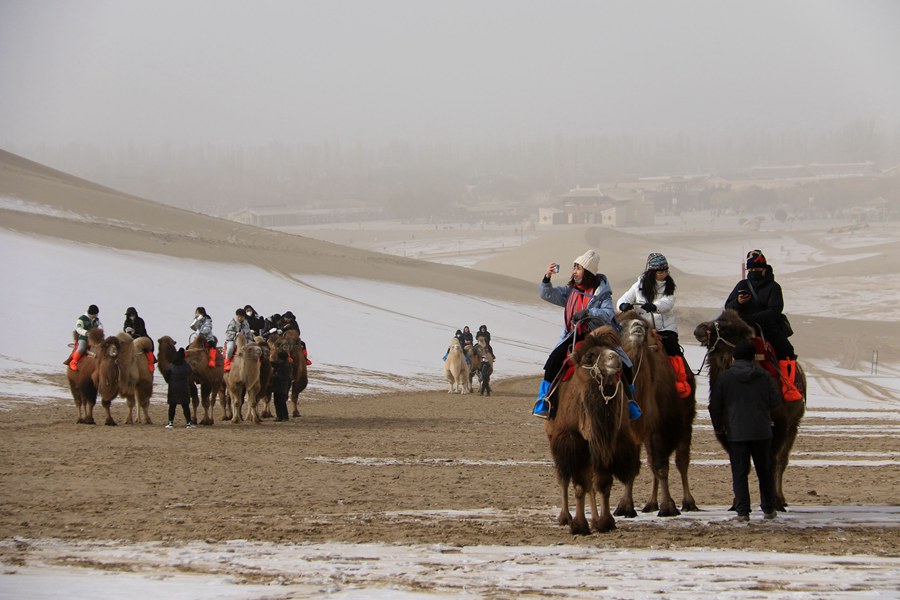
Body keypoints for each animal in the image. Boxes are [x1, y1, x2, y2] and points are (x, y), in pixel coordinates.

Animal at [544, 326, 644, 536]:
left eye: (613, 350)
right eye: (590, 356)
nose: (615, 358)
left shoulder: (609, 440)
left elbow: (603, 483)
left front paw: (605, 522)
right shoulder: (572, 440)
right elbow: (579, 484)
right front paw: (579, 525)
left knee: (591, 481)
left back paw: (595, 518)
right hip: (555, 439)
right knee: (564, 477)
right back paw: (565, 517)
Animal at [616, 314, 700, 516]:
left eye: (645, 326)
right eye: (620, 325)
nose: (638, 326)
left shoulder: (661, 428)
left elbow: (662, 467)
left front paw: (668, 506)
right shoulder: (631, 430)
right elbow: (634, 466)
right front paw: (625, 506)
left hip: (686, 421)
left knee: (681, 460)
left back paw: (688, 502)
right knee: (651, 461)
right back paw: (650, 503)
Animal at [696, 310, 808, 510]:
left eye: (729, 328)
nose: (700, 328)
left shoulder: (779, 423)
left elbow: (771, 461)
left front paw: (774, 501)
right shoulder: (724, 429)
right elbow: (739, 464)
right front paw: (735, 503)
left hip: (794, 422)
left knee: (782, 459)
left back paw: (781, 499)